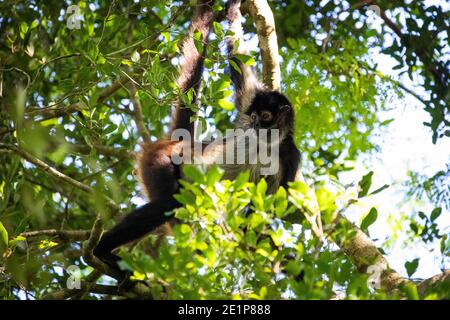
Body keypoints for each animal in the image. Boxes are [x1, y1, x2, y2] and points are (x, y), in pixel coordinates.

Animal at [93, 0, 300, 280]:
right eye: (256, 115)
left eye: (266, 116)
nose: (256, 124)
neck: (270, 144)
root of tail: (178, 142)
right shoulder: (249, 104)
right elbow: (238, 60)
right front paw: (234, 8)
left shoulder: (290, 159)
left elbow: (260, 215)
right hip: (159, 161)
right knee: (168, 203)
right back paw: (102, 249)